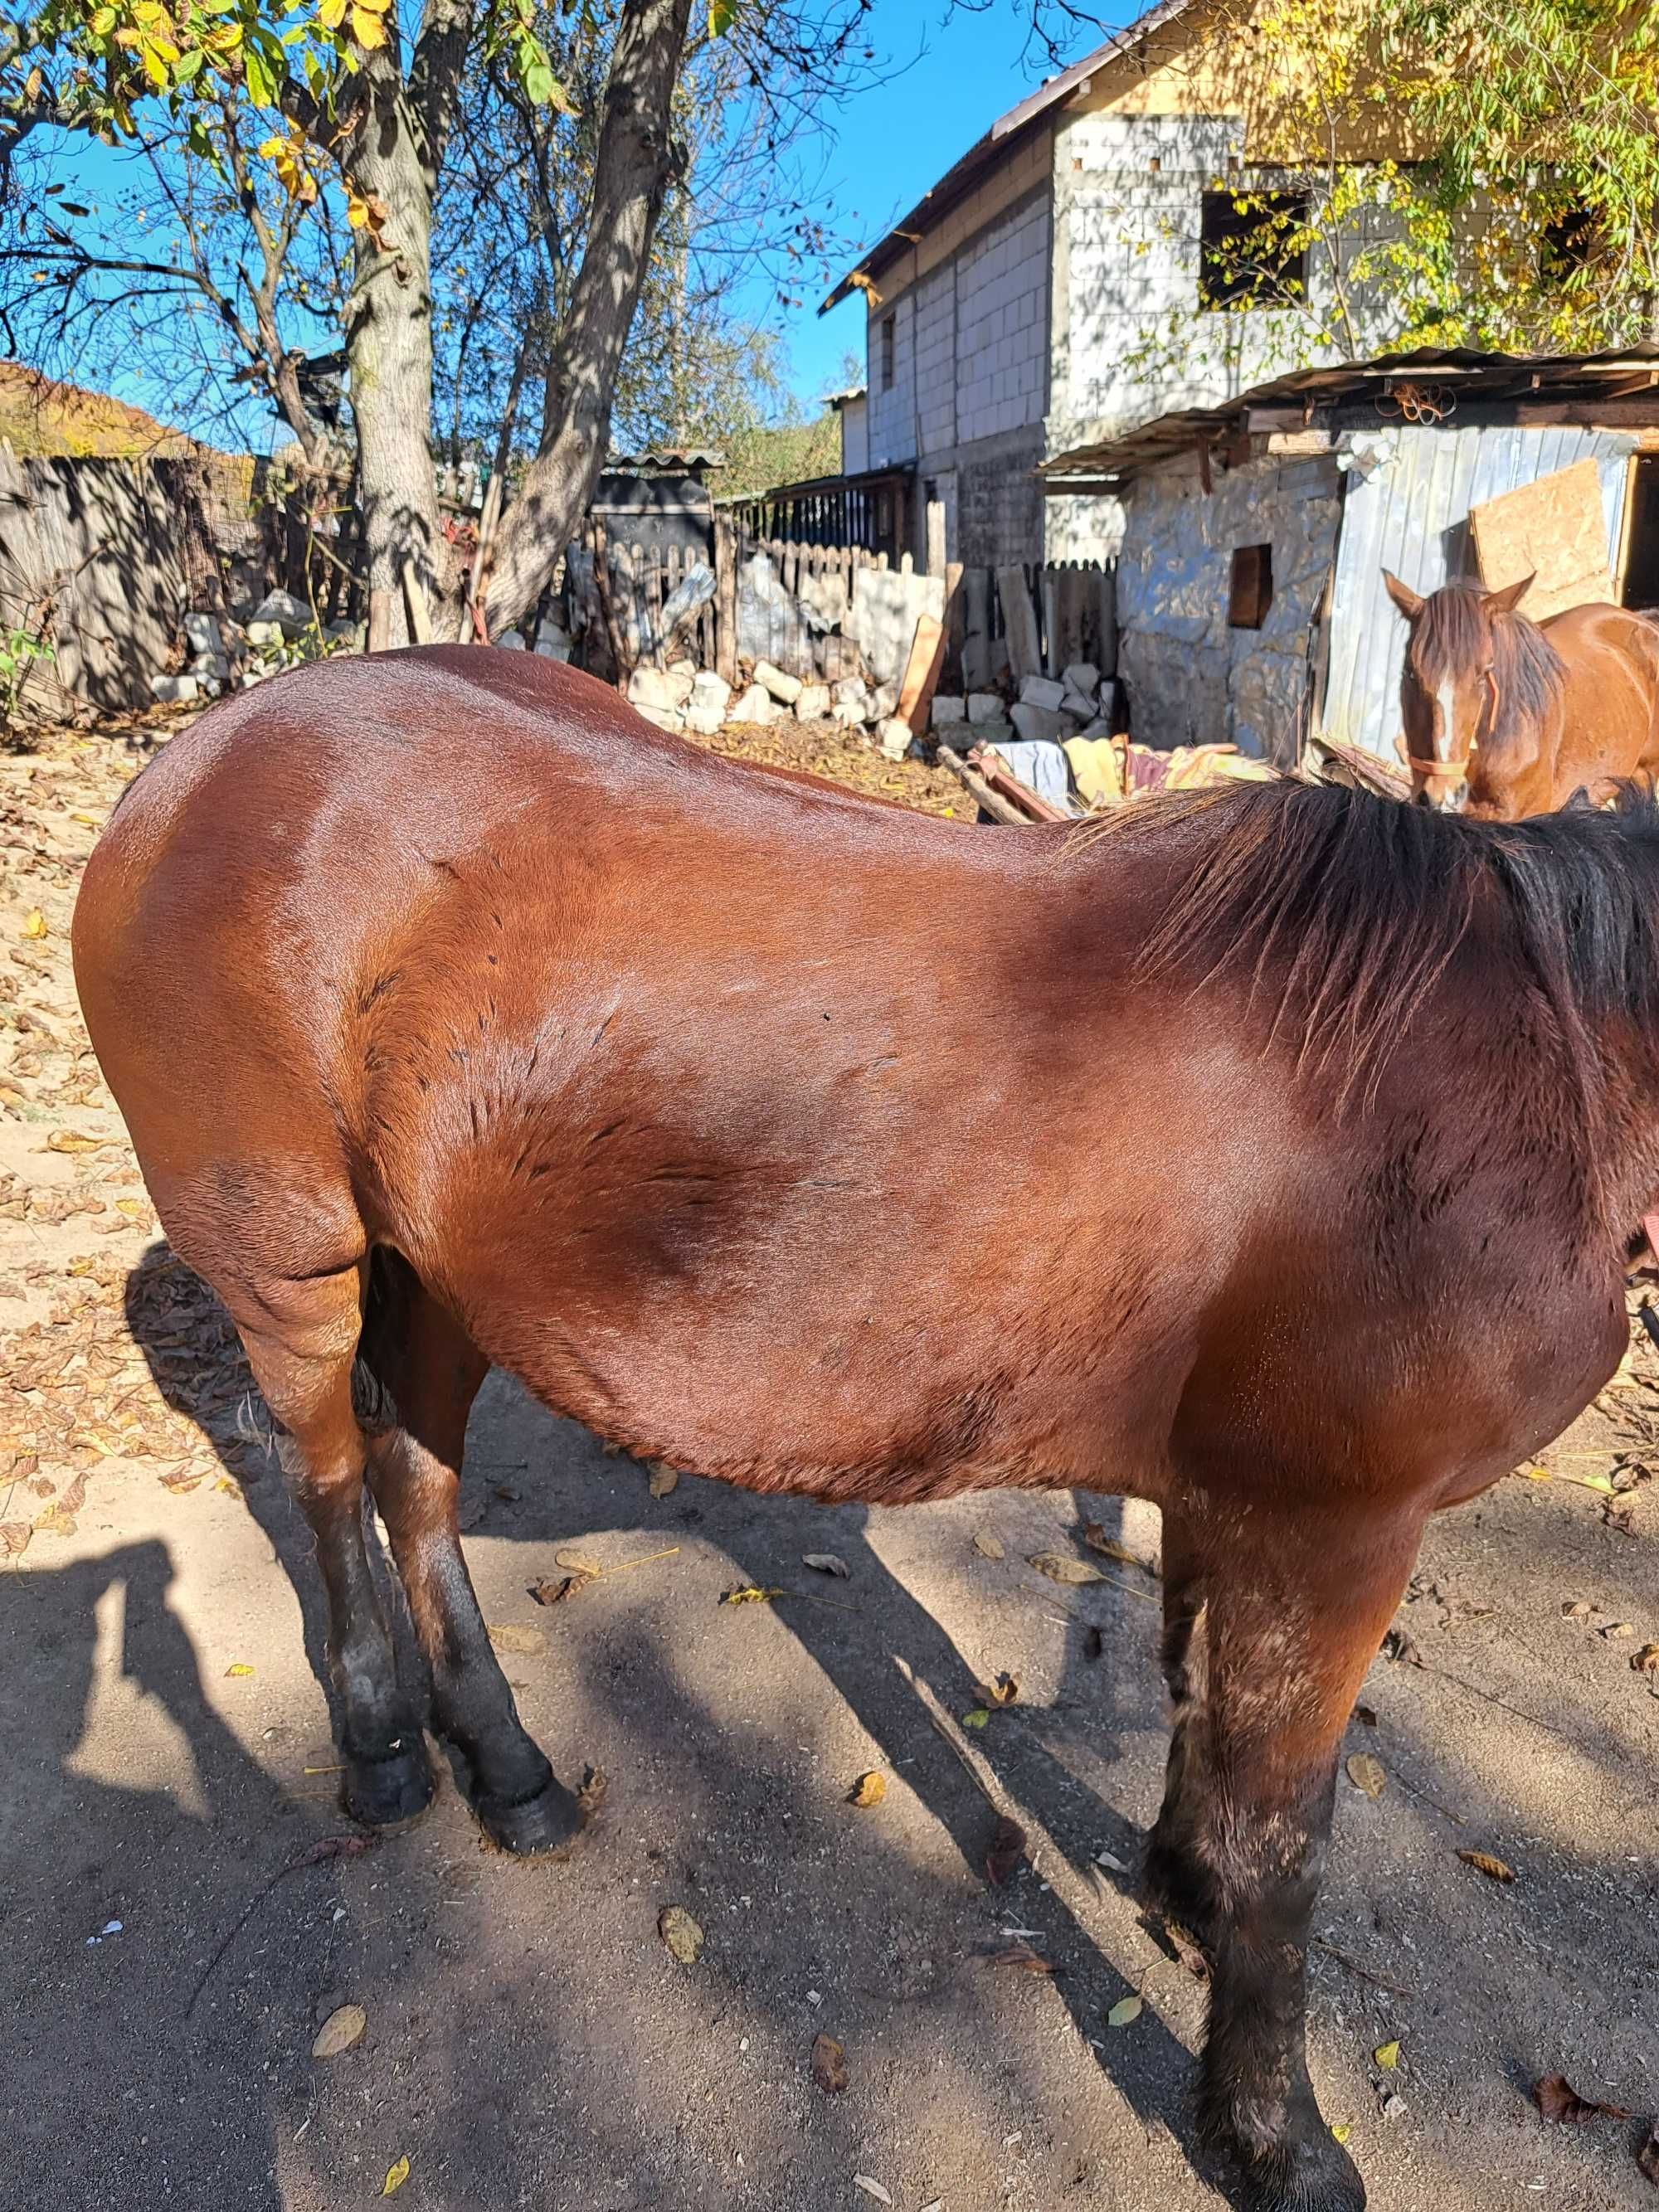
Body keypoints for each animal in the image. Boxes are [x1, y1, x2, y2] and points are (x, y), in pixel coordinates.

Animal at [68, 645, 1659, 2212]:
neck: (1542, 1052)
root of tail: (190, 765)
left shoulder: (1234, 1500)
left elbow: (1198, 1715)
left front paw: (1182, 1896)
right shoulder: (1335, 1529)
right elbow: (1285, 1836)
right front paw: (1274, 2136)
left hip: (448, 1273)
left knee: (416, 1476)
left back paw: (508, 1769)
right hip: (294, 1270)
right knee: (331, 1474)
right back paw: (386, 1744)